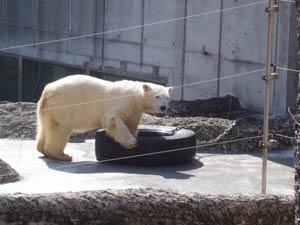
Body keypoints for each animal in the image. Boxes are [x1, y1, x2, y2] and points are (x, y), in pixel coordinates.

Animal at [36, 74, 173, 161]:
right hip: (65, 105)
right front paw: (131, 142)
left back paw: (42, 149)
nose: (163, 107)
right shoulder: (121, 102)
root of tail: (48, 90)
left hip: (47, 108)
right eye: (157, 96)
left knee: (44, 127)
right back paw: (62, 155)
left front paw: (134, 135)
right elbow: (114, 119)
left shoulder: (135, 110)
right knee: (60, 129)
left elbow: (131, 123)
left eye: (167, 97)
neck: (134, 97)